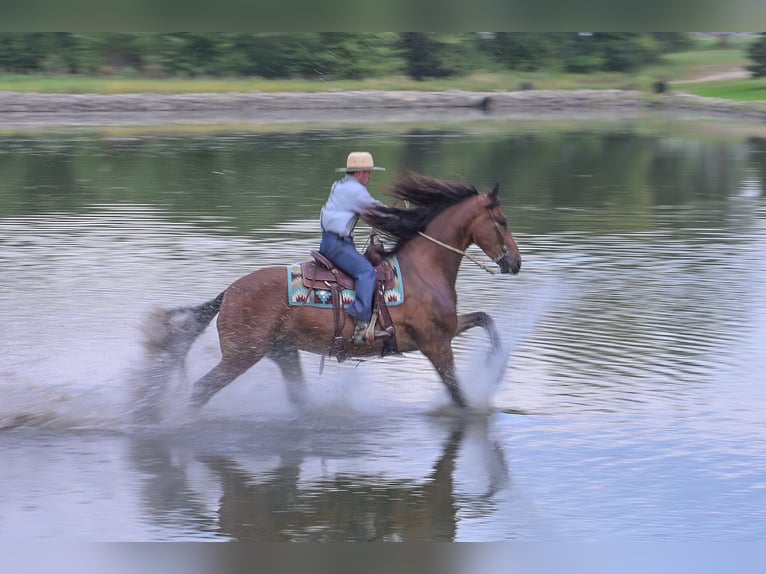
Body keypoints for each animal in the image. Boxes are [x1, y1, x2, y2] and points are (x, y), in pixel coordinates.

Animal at [136, 172, 521, 420]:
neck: (422, 270)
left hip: (283, 352)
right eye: (501, 221)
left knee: (297, 397)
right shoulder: (436, 344)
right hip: (241, 356)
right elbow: (460, 397)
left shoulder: (445, 331)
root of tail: (228, 293)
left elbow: (485, 319)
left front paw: (496, 362)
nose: (515, 262)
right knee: (201, 390)